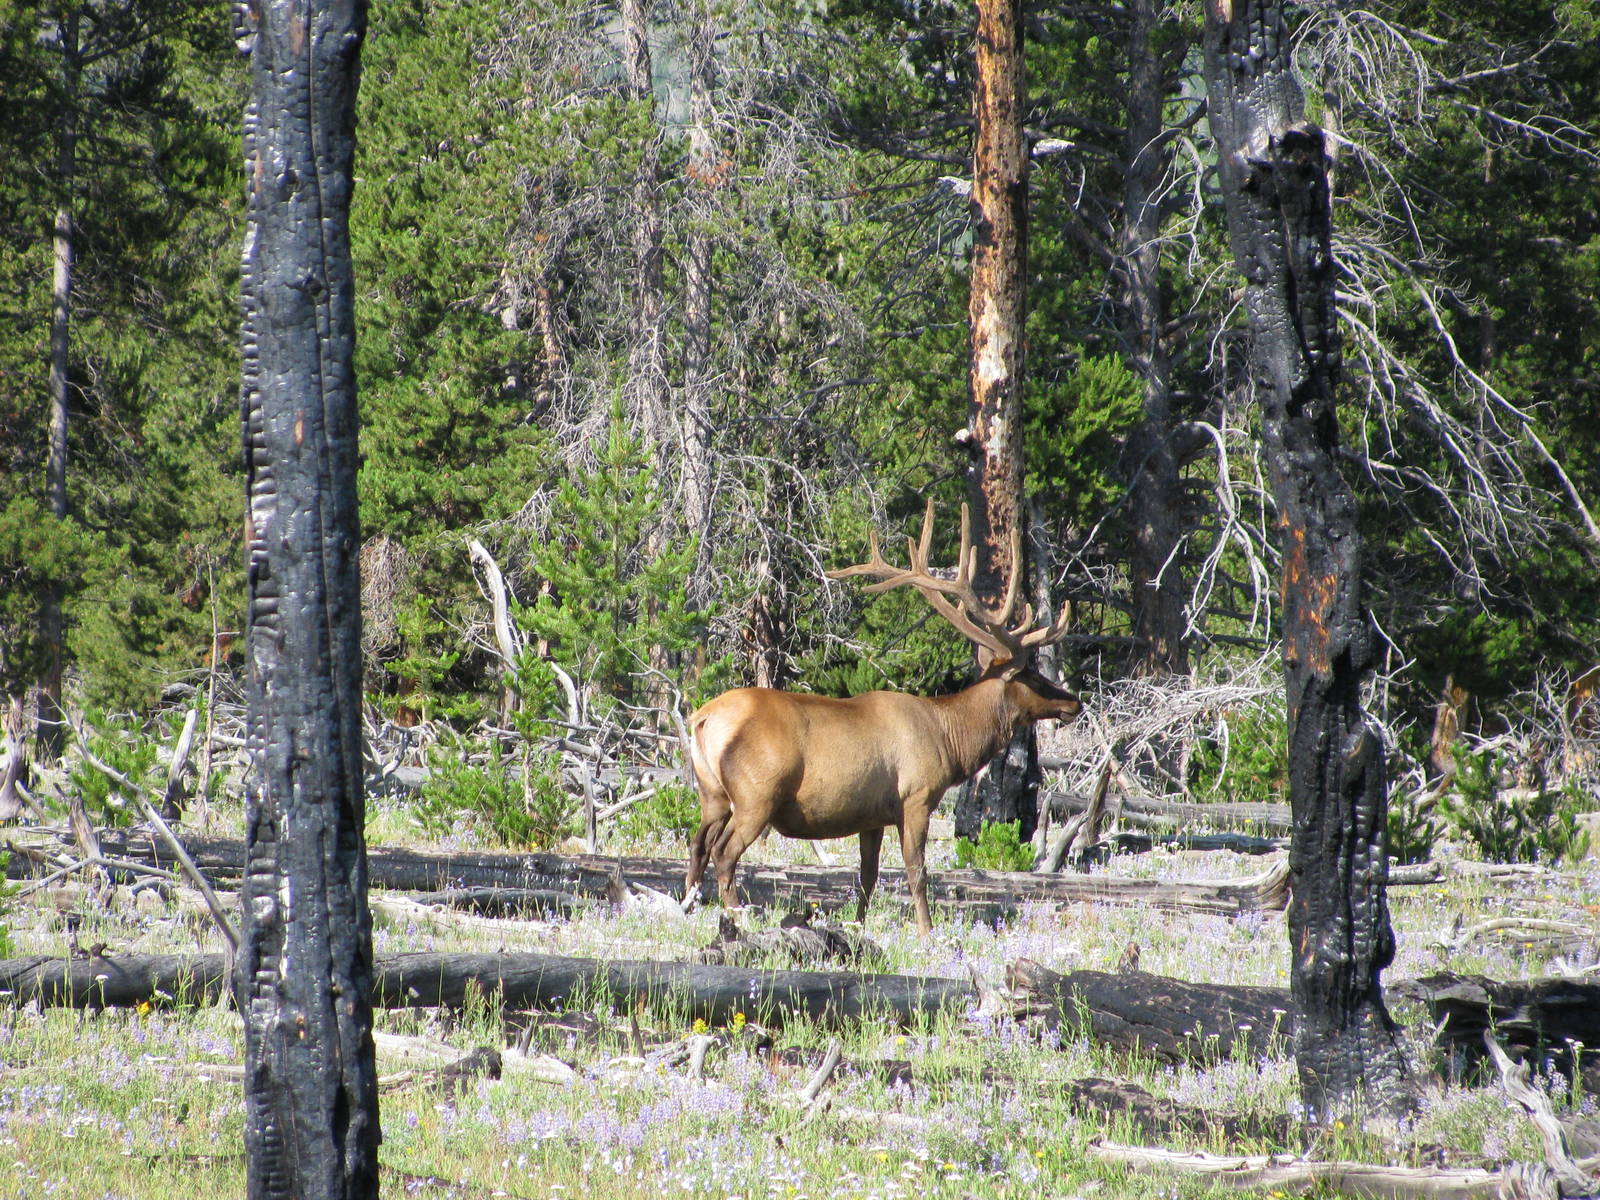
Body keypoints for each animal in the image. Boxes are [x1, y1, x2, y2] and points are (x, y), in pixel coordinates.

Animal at [684, 500, 1082, 935]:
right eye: (1033, 675)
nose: (1074, 702)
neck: (951, 739)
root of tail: (702, 718)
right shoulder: (917, 795)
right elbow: (916, 870)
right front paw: (926, 930)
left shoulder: (871, 814)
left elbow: (868, 875)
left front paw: (858, 925)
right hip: (757, 795)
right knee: (724, 852)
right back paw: (736, 915)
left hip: (712, 793)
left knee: (697, 844)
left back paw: (689, 908)